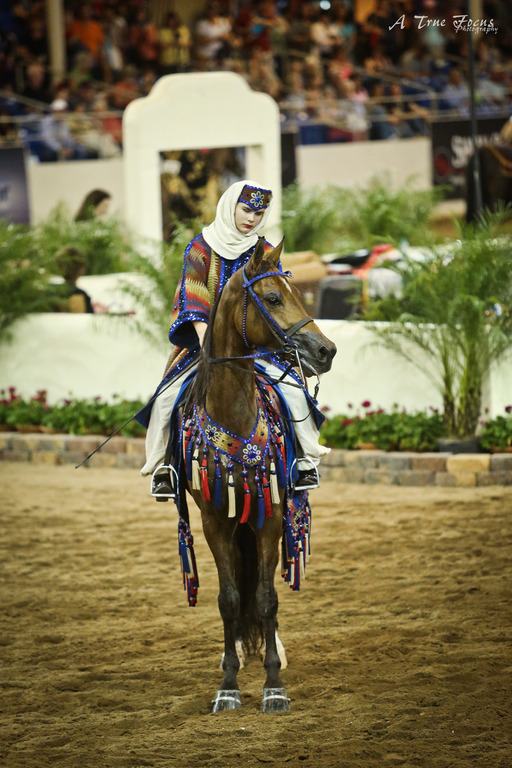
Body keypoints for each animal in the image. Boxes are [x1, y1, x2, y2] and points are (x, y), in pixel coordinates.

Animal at [171, 236, 336, 713]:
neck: (236, 415)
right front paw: (228, 685)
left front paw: (274, 685)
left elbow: (265, 598)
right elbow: (230, 601)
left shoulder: (270, 518)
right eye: (274, 298)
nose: (326, 350)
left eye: (298, 292)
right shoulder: (214, 521)